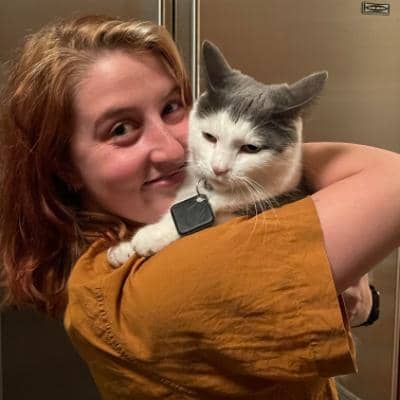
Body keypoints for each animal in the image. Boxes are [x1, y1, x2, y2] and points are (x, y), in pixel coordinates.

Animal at [107, 40, 327, 266]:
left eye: (251, 148)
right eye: (209, 136)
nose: (219, 168)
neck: (212, 192)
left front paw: (153, 234)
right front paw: (123, 249)